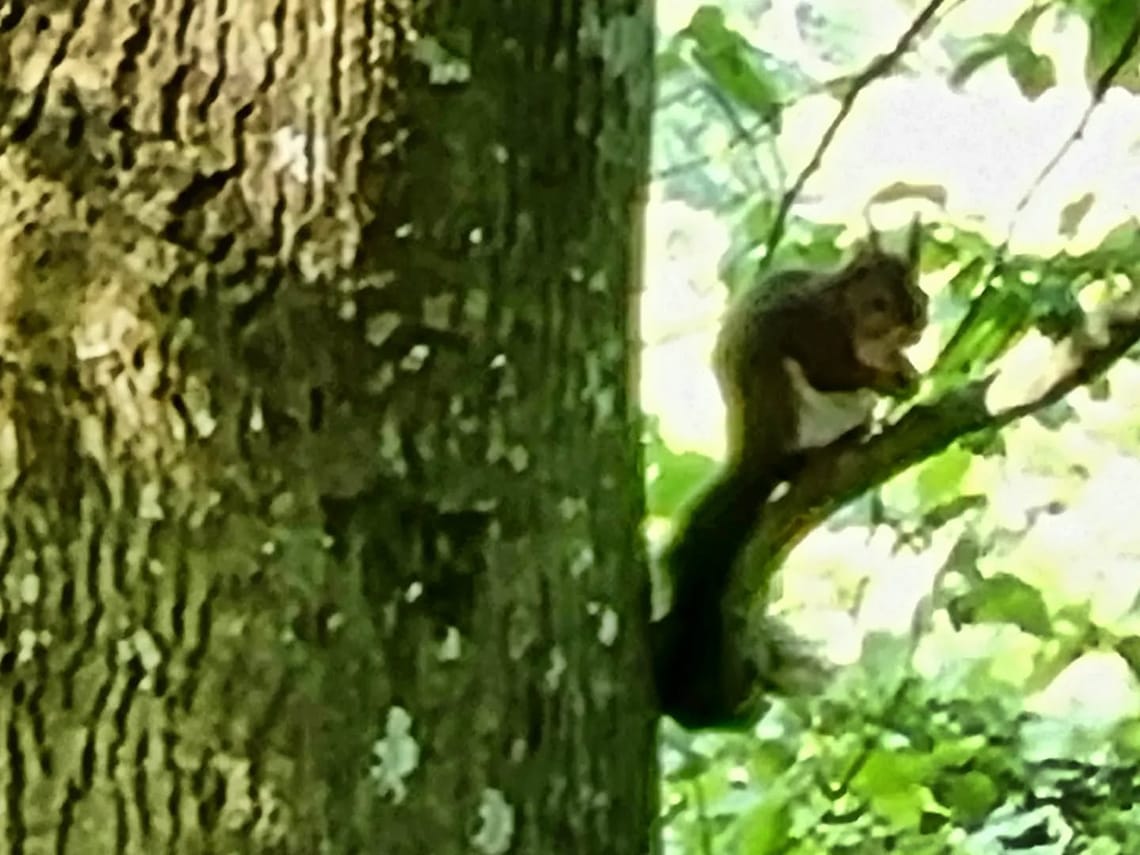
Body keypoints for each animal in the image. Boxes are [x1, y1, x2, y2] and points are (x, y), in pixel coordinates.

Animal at [651, 224, 929, 730]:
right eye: (878, 302)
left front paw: (907, 374)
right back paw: (817, 455)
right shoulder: (810, 334)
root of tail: (756, 455)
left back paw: (857, 435)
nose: (915, 326)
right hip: (782, 403)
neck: (847, 316)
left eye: (920, 294)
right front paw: (884, 377)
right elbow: (832, 372)